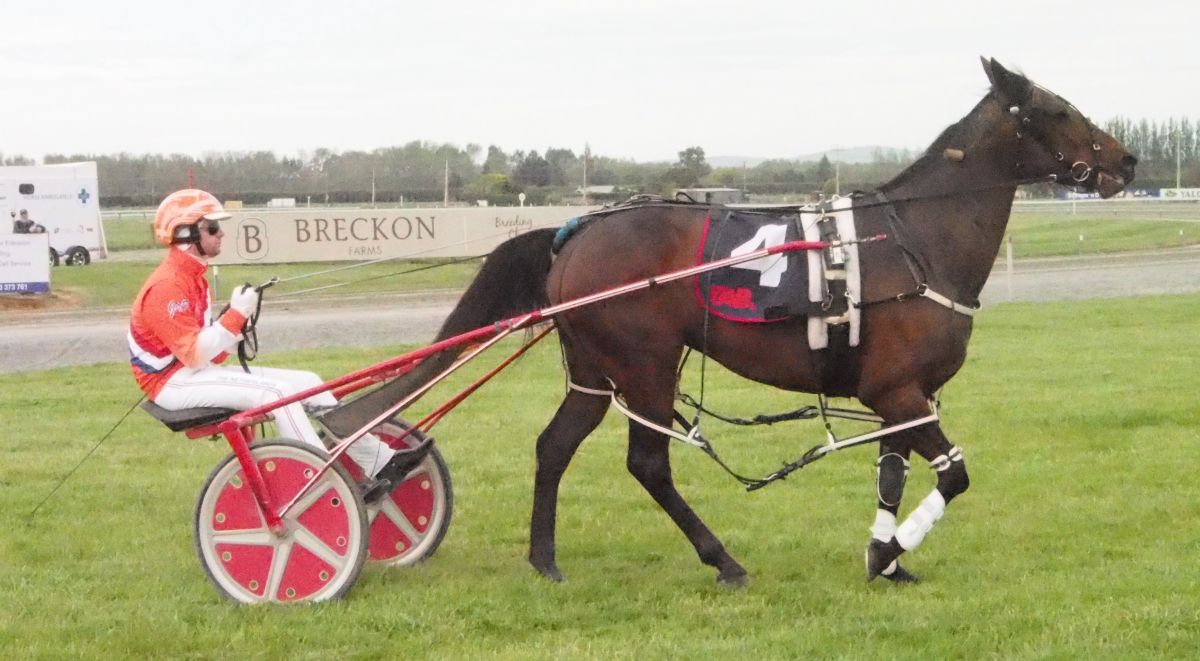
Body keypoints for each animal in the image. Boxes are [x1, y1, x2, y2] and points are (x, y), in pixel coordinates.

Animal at [323, 58, 1137, 585]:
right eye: (1056, 110)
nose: (1127, 160)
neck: (912, 238)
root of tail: (575, 230)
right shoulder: (899, 393)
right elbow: (956, 473)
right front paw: (888, 552)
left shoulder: (902, 396)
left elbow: (893, 474)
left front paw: (889, 555)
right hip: (646, 366)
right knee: (648, 465)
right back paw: (722, 559)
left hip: (595, 372)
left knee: (554, 446)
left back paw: (545, 559)